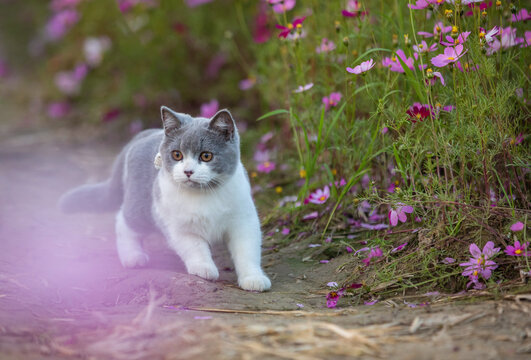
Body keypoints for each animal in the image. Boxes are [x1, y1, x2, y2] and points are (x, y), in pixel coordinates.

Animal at [60, 105, 272, 292]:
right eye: (177, 155)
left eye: (206, 156)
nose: (188, 171)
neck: (204, 195)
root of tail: (145, 134)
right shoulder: (176, 224)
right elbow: (195, 246)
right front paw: (204, 268)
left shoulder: (243, 220)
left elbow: (247, 250)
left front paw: (254, 278)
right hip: (142, 206)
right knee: (124, 220)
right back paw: (133, 256)